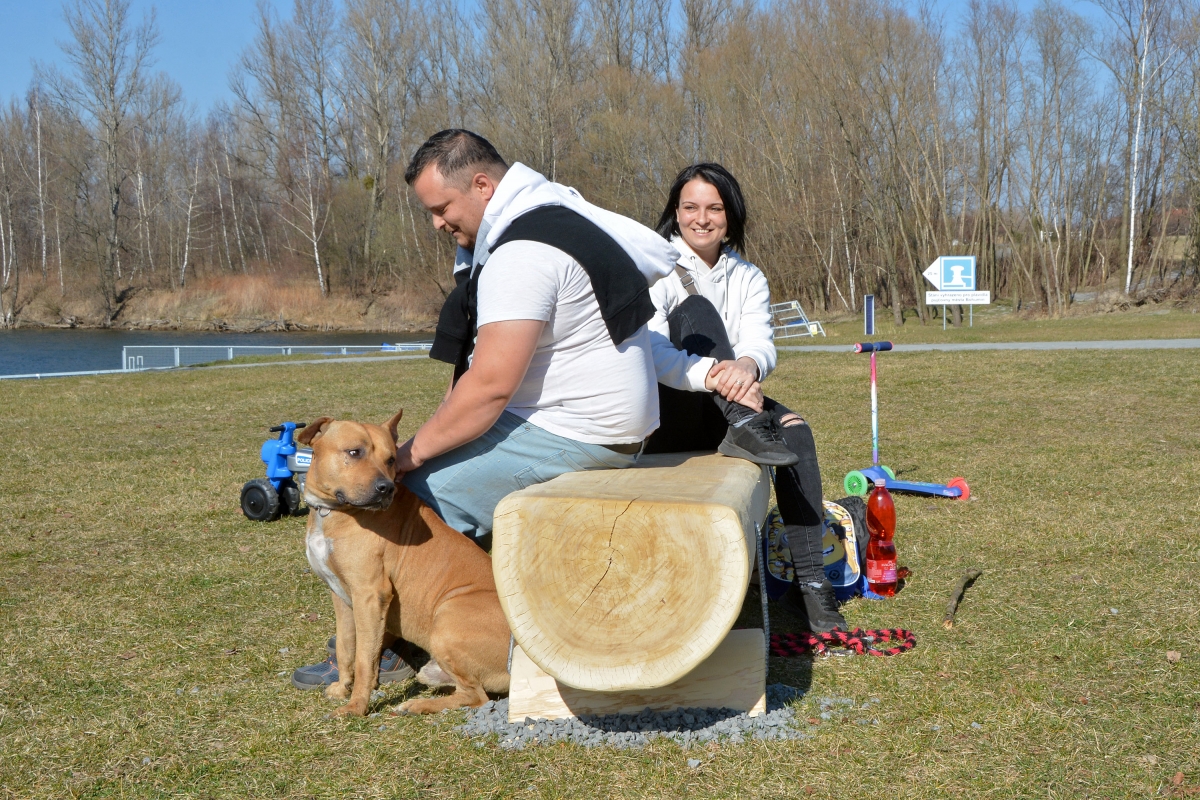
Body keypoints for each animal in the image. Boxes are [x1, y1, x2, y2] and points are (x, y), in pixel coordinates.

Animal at [298, 410, 511, 714]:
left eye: (391, 459)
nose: (385, 488)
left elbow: (365, 658)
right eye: (354, 452)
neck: (332, 512)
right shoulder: (340, 595)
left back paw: (416, 704)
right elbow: (346, 647)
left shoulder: (370, 595)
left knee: (476, 697)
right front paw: (341, 688)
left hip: (447, 618)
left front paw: (356, 707)